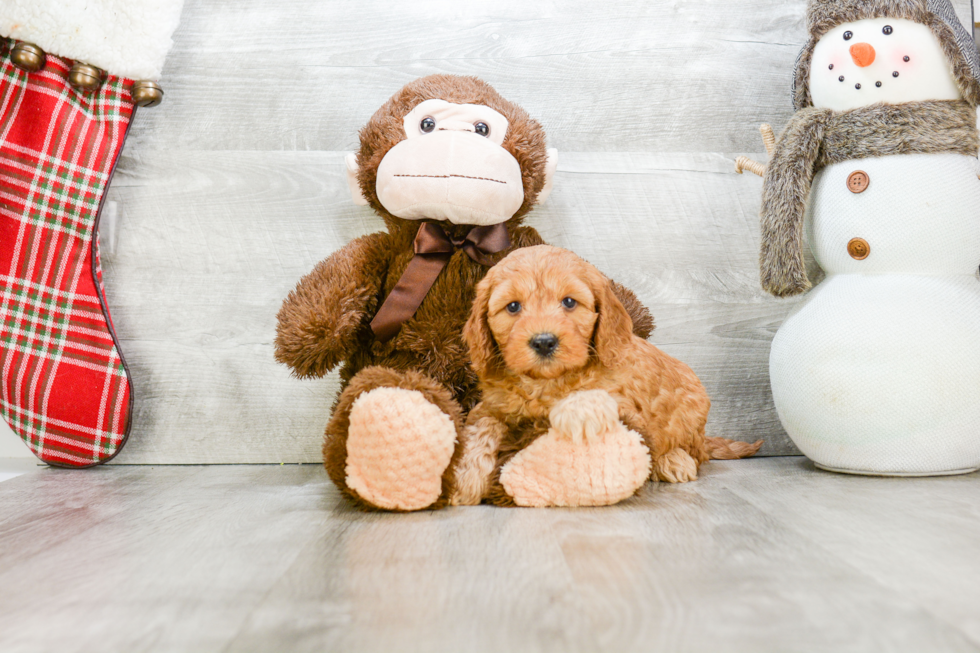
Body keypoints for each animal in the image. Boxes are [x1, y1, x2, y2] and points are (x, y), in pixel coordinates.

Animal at [454, 247, 764, 506]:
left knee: (694, 453)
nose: (544, 342)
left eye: (569, 302)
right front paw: (464, 481)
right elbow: (479, 429)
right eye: (513, 307)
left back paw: (673, 461)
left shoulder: (621, 404)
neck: (546, 382)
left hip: (690, 412)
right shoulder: (490, 405)